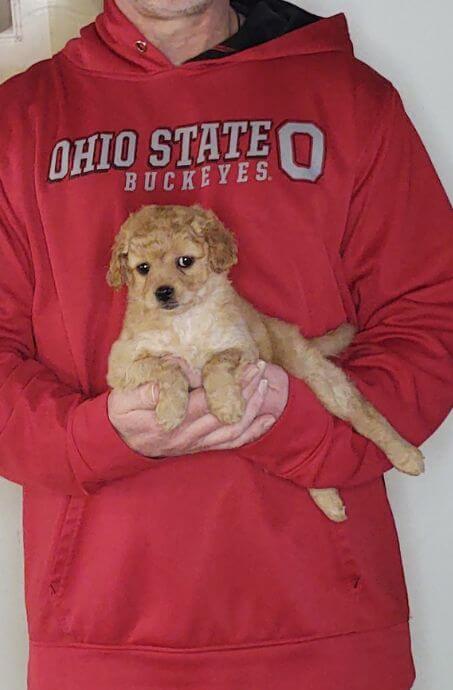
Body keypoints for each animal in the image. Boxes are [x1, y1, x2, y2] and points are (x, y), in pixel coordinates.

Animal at [106, 204, 424, 520]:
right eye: (143, 268)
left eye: (185, 261)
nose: (163, 292)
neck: (183, 321)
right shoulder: (121, 365)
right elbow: (167, 366)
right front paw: (171, 411)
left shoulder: (244, 348)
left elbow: (214, 362)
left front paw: (226, 406)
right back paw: (330, 501)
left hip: (321, 378)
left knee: (363, 413)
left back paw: (407, 455)